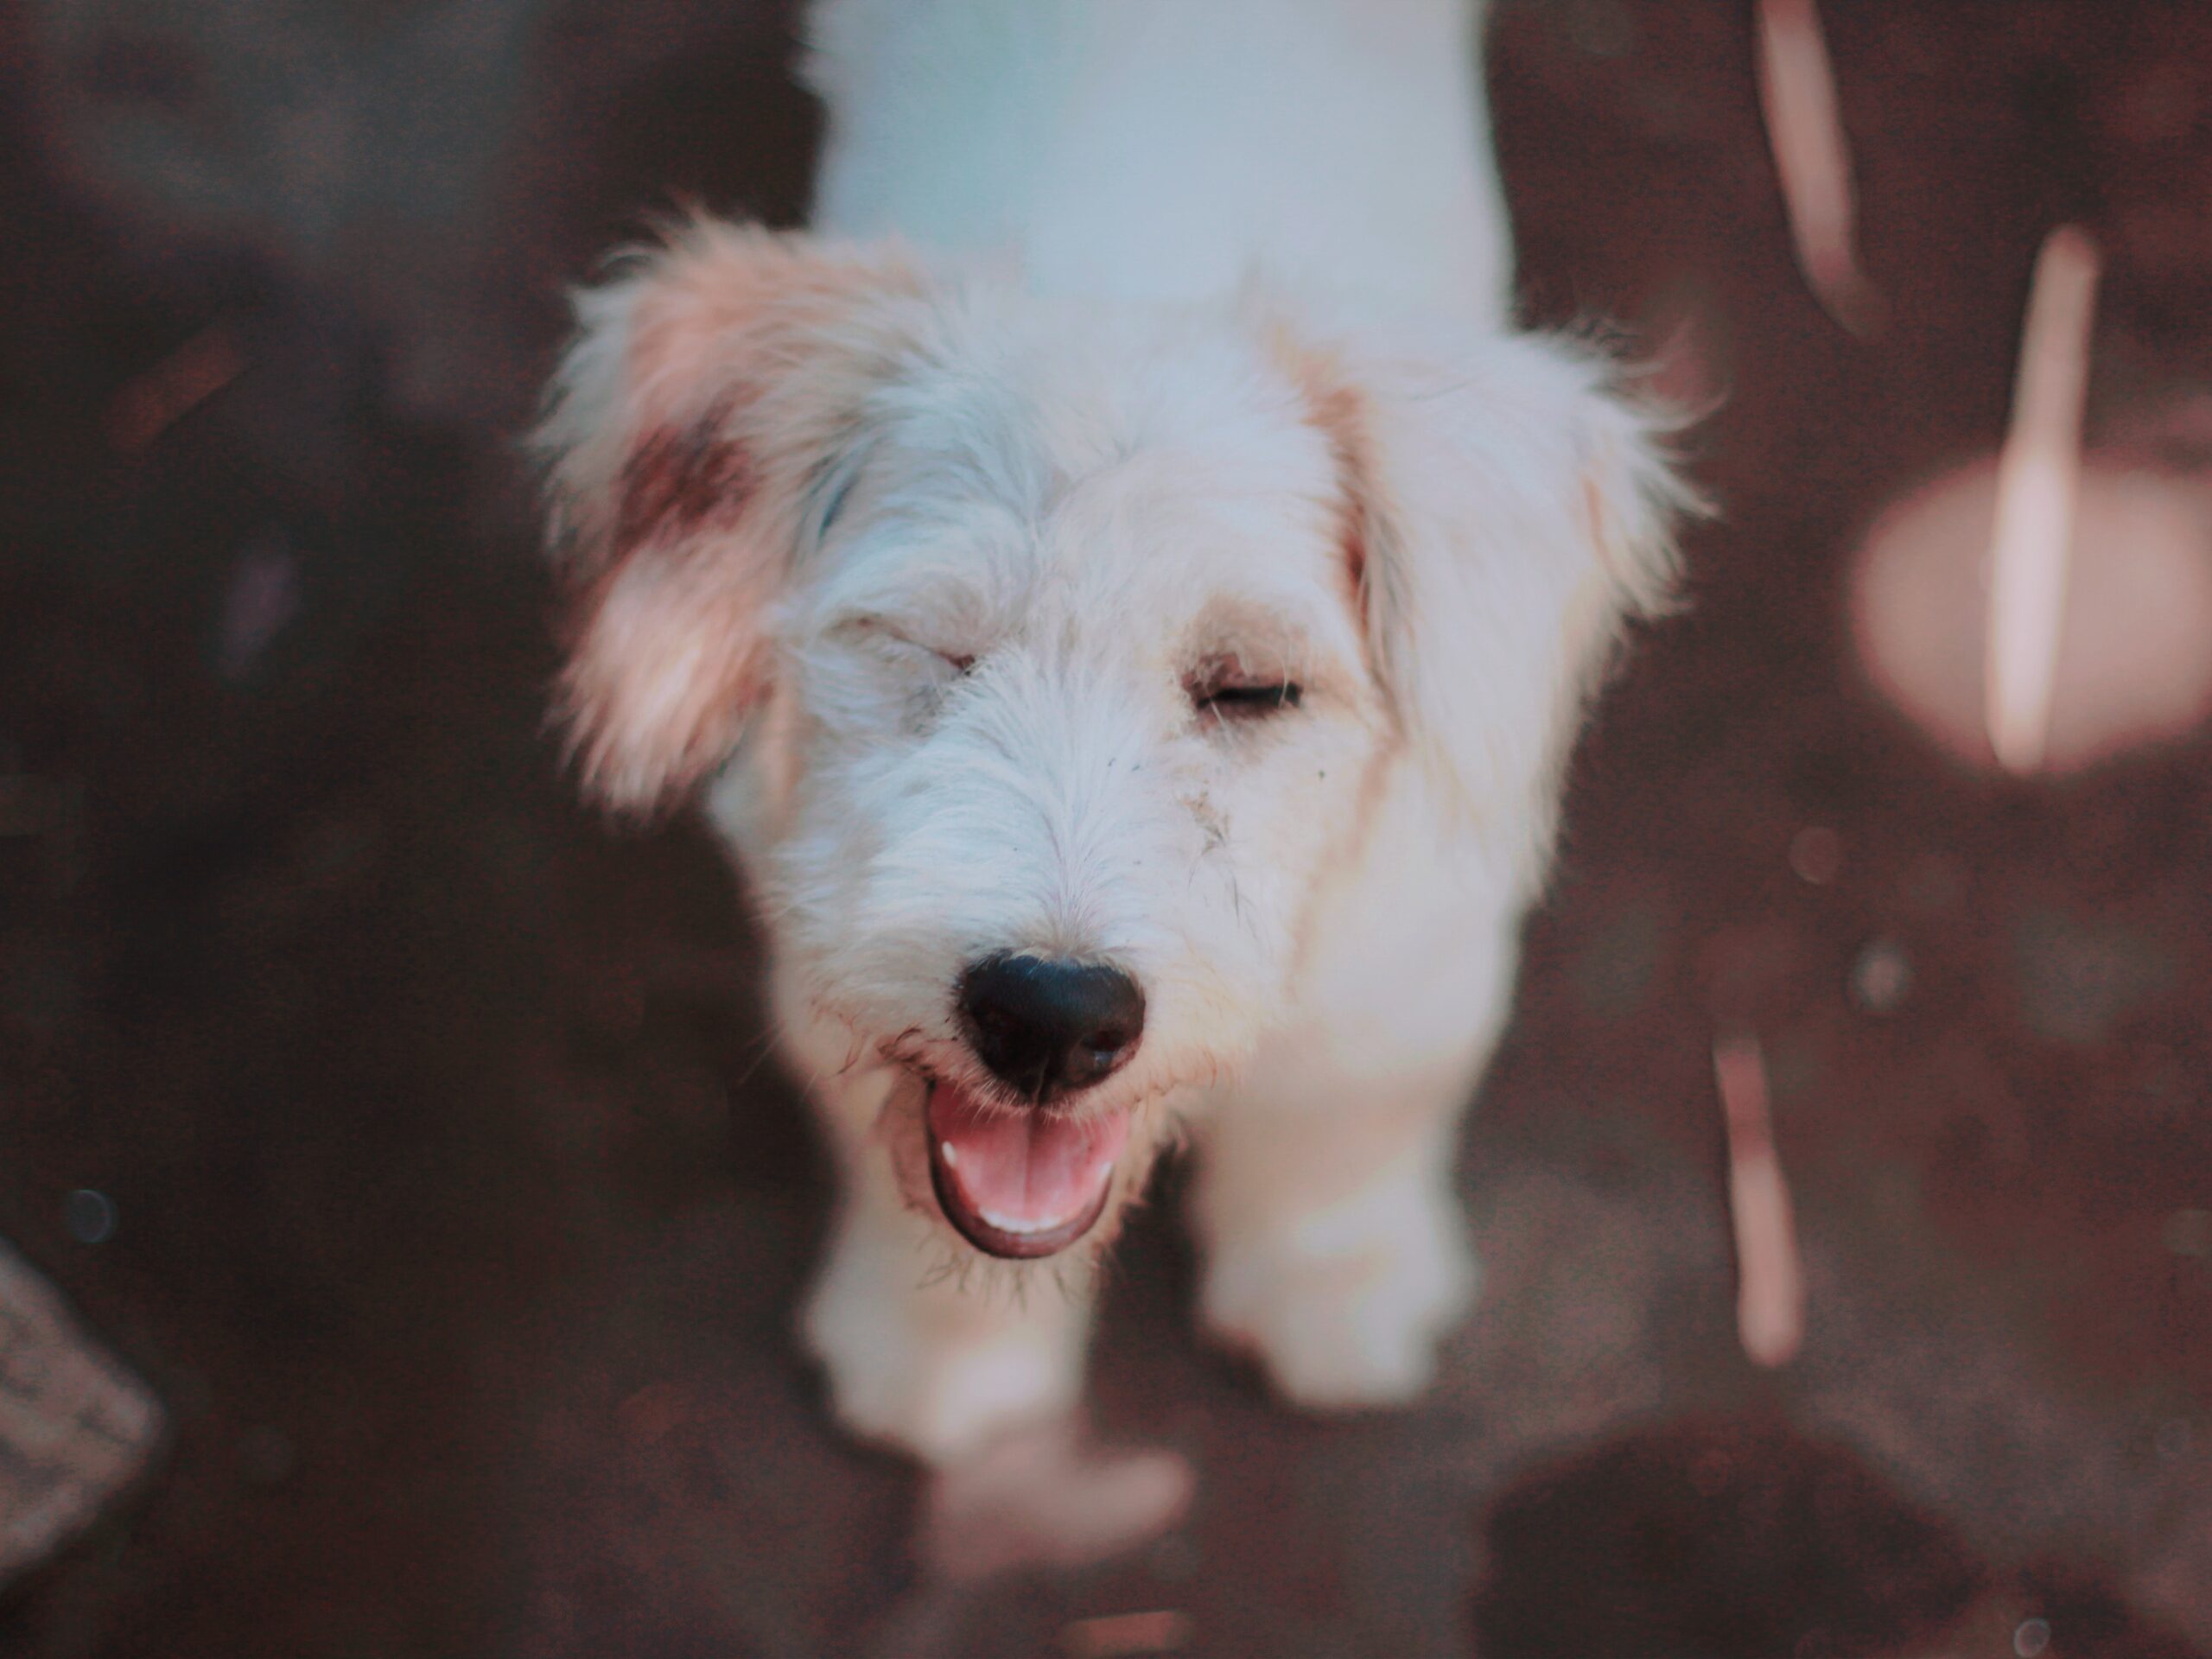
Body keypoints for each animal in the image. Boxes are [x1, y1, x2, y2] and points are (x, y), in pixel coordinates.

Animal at [531, 0, 1672, 1468]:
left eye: (1251, 688)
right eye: (933, 647)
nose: (1049, 1018)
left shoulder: (1413, 950)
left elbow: (1352, 1105)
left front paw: (1334, 1286)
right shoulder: (824, 947)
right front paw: (943, 1357)